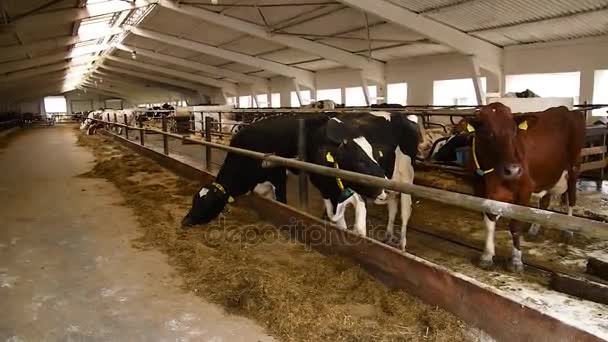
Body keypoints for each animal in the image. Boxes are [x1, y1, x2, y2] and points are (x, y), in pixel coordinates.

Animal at [466, 103, 584, 272]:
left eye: (514, 132)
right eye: (486, 133)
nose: (513, 170)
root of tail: (565, 109)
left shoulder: (524, 190)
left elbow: (515, 225)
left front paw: (516, 261)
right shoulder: (480, 191)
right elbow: (489, 222)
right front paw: (487, 256)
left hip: (574, 166)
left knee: (572, 197)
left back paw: (568, 230)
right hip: (549, 172)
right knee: (545, 202)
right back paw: (534, 229)